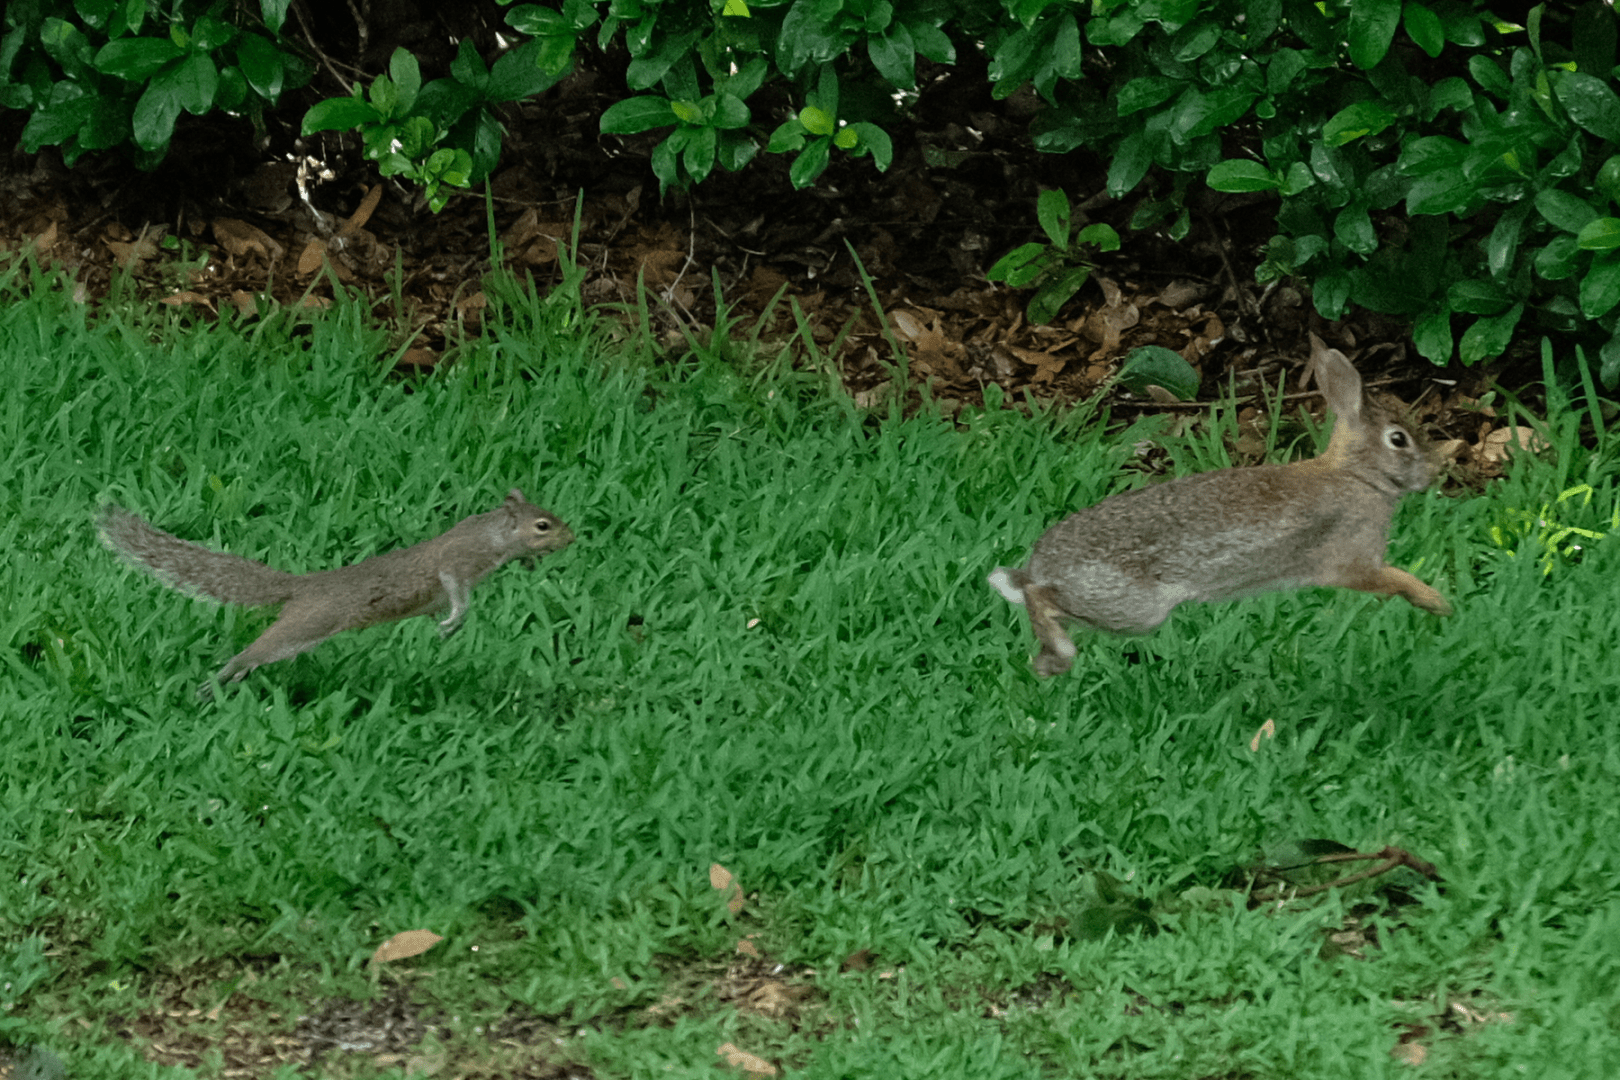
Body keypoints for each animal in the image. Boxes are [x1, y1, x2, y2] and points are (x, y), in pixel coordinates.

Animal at [98, 489, 574, 696]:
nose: (571, 538)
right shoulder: (456, 562)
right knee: (257, 651)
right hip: (308, 623)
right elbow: (457, 592)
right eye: (542, 525)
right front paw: (453, 622)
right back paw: (220, 678)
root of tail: (306, 587)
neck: (492, 536)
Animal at [988, 335, 1452, 676]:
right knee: (1040, 597)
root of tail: (1042, 567)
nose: (1432, 472)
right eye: (1398, 440)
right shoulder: (1353, 561)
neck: (1356, 474)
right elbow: (1393, 579)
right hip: (1134, 609)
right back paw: (1058, 656)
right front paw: (1437, 602)